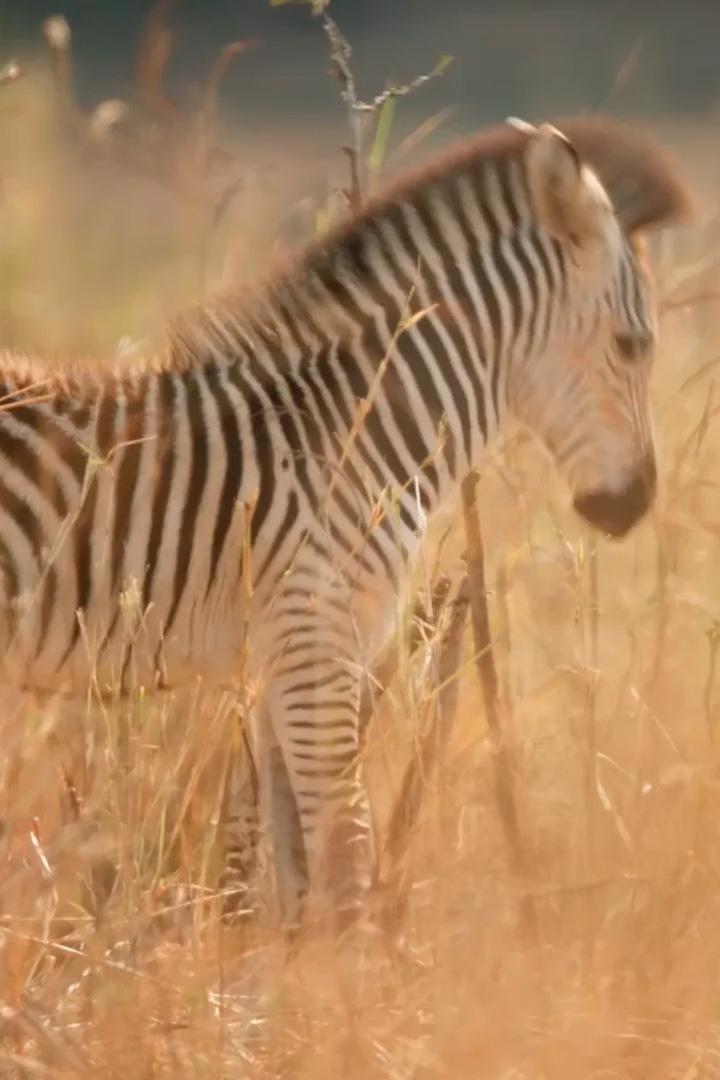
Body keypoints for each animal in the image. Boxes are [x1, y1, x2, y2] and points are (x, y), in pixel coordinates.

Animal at [0, 116, 690, 928]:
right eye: (633, 345)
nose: (635, 502)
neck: (351, 437)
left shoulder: (285, 658)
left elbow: (281, 864)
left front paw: (278, 963)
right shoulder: (316, 641)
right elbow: (343, 855)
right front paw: (347, 966)